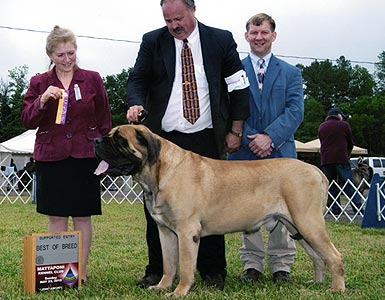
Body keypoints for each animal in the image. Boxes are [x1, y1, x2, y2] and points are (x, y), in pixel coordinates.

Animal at [94, 125, 344, 298]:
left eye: (119, 139)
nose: (96, 140)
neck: (158, 172)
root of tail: (314, 169)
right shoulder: (165, 232)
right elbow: (169, 264)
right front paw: (161, 286)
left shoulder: (186, 232)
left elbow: (185, 266)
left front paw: (179, 292)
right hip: (297, 227)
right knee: (318, 256)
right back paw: (317, 282)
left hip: (308, 222)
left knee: (334, 256)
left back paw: (336, 289)